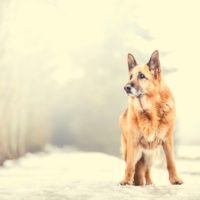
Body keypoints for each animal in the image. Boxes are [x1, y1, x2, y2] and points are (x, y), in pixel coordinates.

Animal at [119, 50, 184, 186]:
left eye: (141, 76)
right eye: (130, 77)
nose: (126, 87)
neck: (149, 110)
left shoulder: (167, 140)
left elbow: (171, 162)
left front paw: (175, 179)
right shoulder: (133, 143)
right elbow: (130, 166)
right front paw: (127, 180)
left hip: (151, 155)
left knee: (147, 170)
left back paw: (149, 183)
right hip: (132, 152)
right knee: (136, 166)